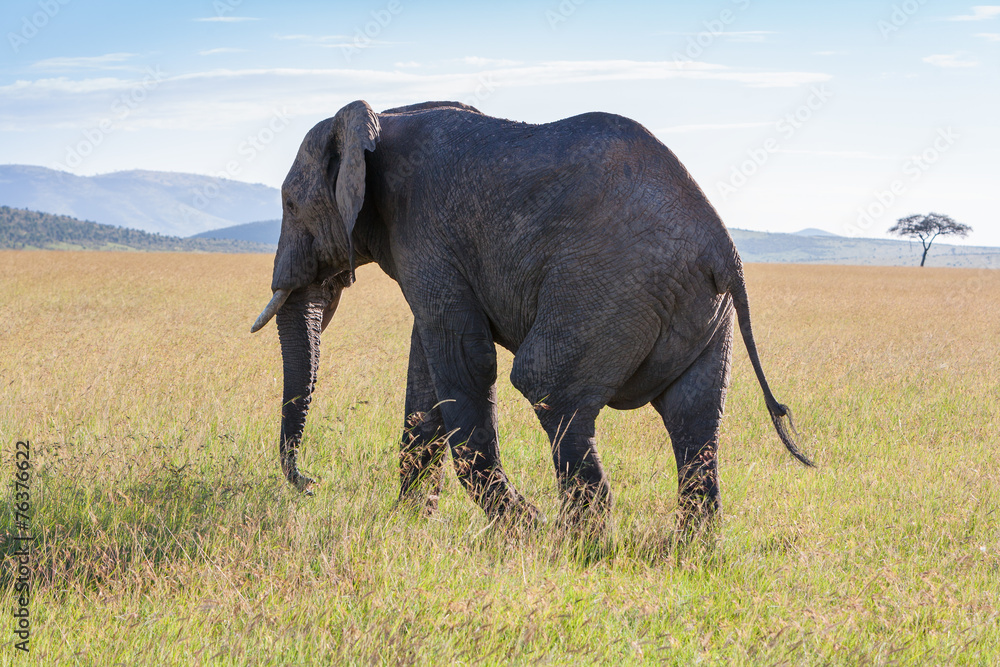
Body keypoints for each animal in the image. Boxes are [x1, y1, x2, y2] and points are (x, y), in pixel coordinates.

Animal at [251, 99, 813, 530]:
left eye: (289, 203)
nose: (310, 484)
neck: (380, 118)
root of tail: (725, 250)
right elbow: (426, 382)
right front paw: (408, 528)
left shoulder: (426, 234)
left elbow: (465, 362)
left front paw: (522, 529)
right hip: (700, 310)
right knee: (695, 416)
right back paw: (685, 555)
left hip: (606, 290)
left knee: (546, 384)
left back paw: (572, 547)